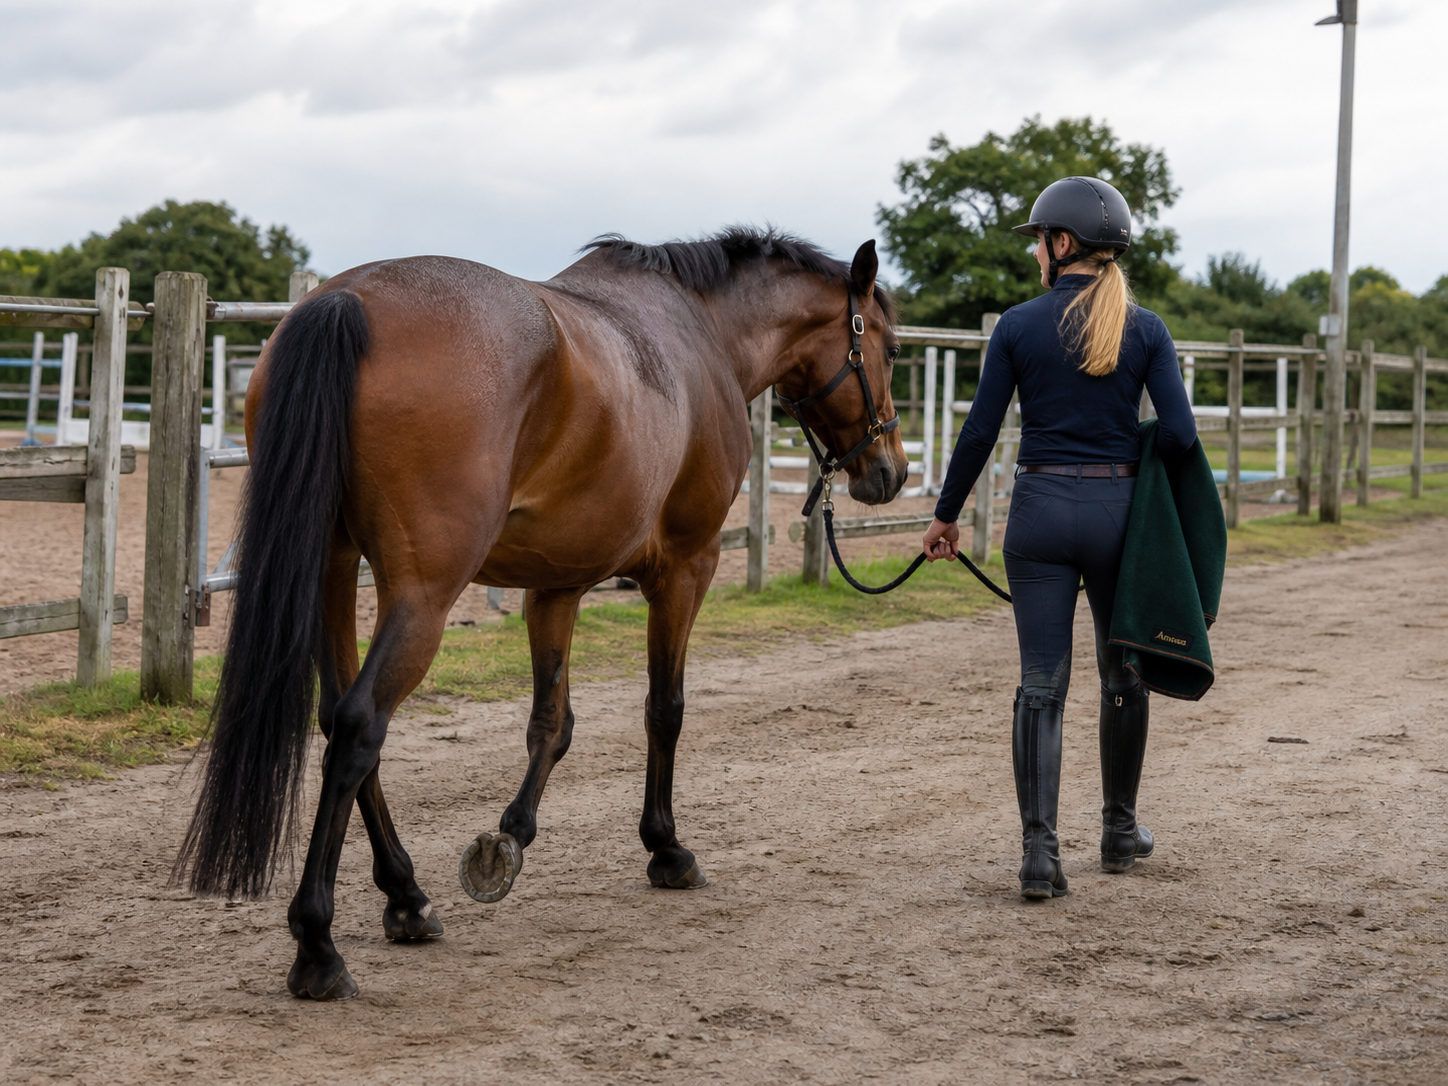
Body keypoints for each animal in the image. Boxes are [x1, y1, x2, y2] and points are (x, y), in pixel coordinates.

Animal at [174, 227, 908, 1000]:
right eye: (890, 348)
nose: (890, 470)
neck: (701, 329)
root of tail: (348, 301)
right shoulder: (687, 567)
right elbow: (665, 709)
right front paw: (667, 848)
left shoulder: (555, 586)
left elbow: (551, 722)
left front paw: (509, 839)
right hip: (422, 595)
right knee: (357, 728)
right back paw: (319, 946)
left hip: (334, 572)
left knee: (336, 717)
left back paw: (407, 897)